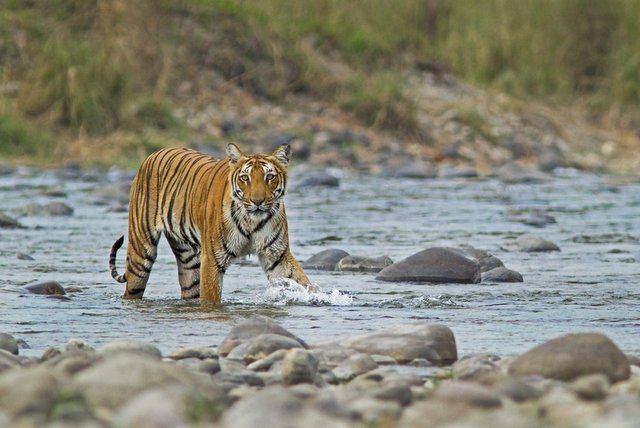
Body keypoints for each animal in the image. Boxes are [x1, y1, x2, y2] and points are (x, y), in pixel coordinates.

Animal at [109, 144, 314, 300]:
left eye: (269, 177)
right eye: (245, 178)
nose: (257, 202)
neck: (252, 221)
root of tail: (153, 153)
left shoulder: (277, 255)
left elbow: (302, 281)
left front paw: (316, 298)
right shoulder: (212, 260)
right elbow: (211, 299)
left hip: (188, 261)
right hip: (141, 253)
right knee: (132, 288)